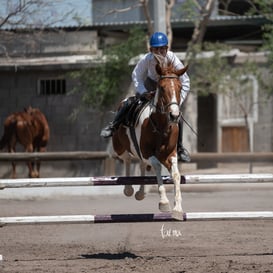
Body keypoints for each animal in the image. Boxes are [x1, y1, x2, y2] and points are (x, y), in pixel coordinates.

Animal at [111, 59, 187, 219]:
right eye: (162, 88)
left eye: (180, 87)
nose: (174, 115)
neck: (161, 126)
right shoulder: (147, 153)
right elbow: (156, 166)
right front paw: (164, 202)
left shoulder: (170, 154)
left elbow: (176, 174)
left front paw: (177, 209)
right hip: (119, 148)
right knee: (127, 159)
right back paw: (129, 189)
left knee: (141, 164)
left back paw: (140, 193)